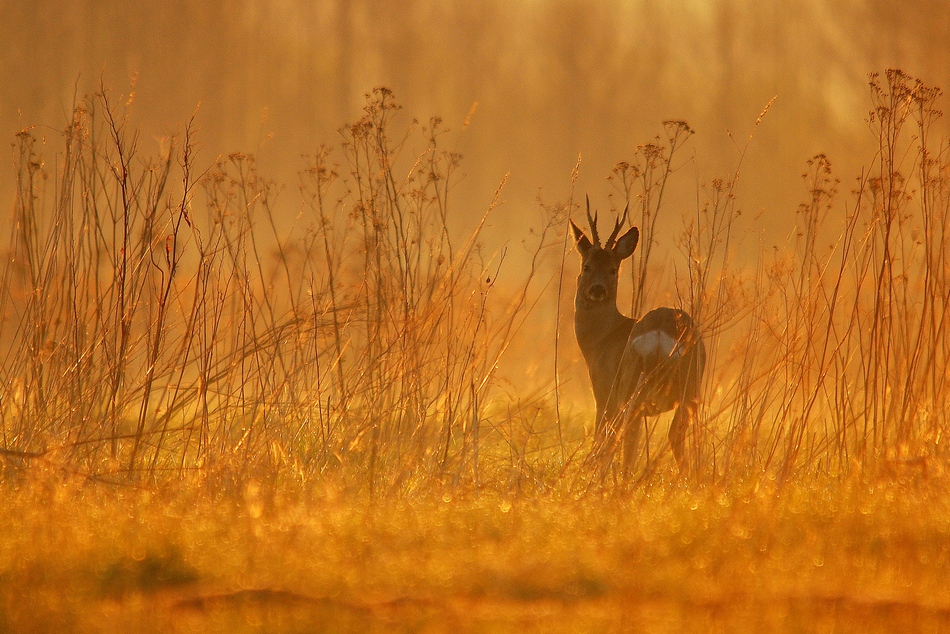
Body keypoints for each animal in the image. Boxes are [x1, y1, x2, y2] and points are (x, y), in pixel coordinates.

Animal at [572, 196, 708, 470]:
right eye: (587, 266)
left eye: (613, 269)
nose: (597, 290)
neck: (601, 340)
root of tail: (662, 336)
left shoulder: (604, 393)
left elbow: (601, 440)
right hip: (691, 388)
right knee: (676, 435)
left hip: (631, 387)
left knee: (631, 444)